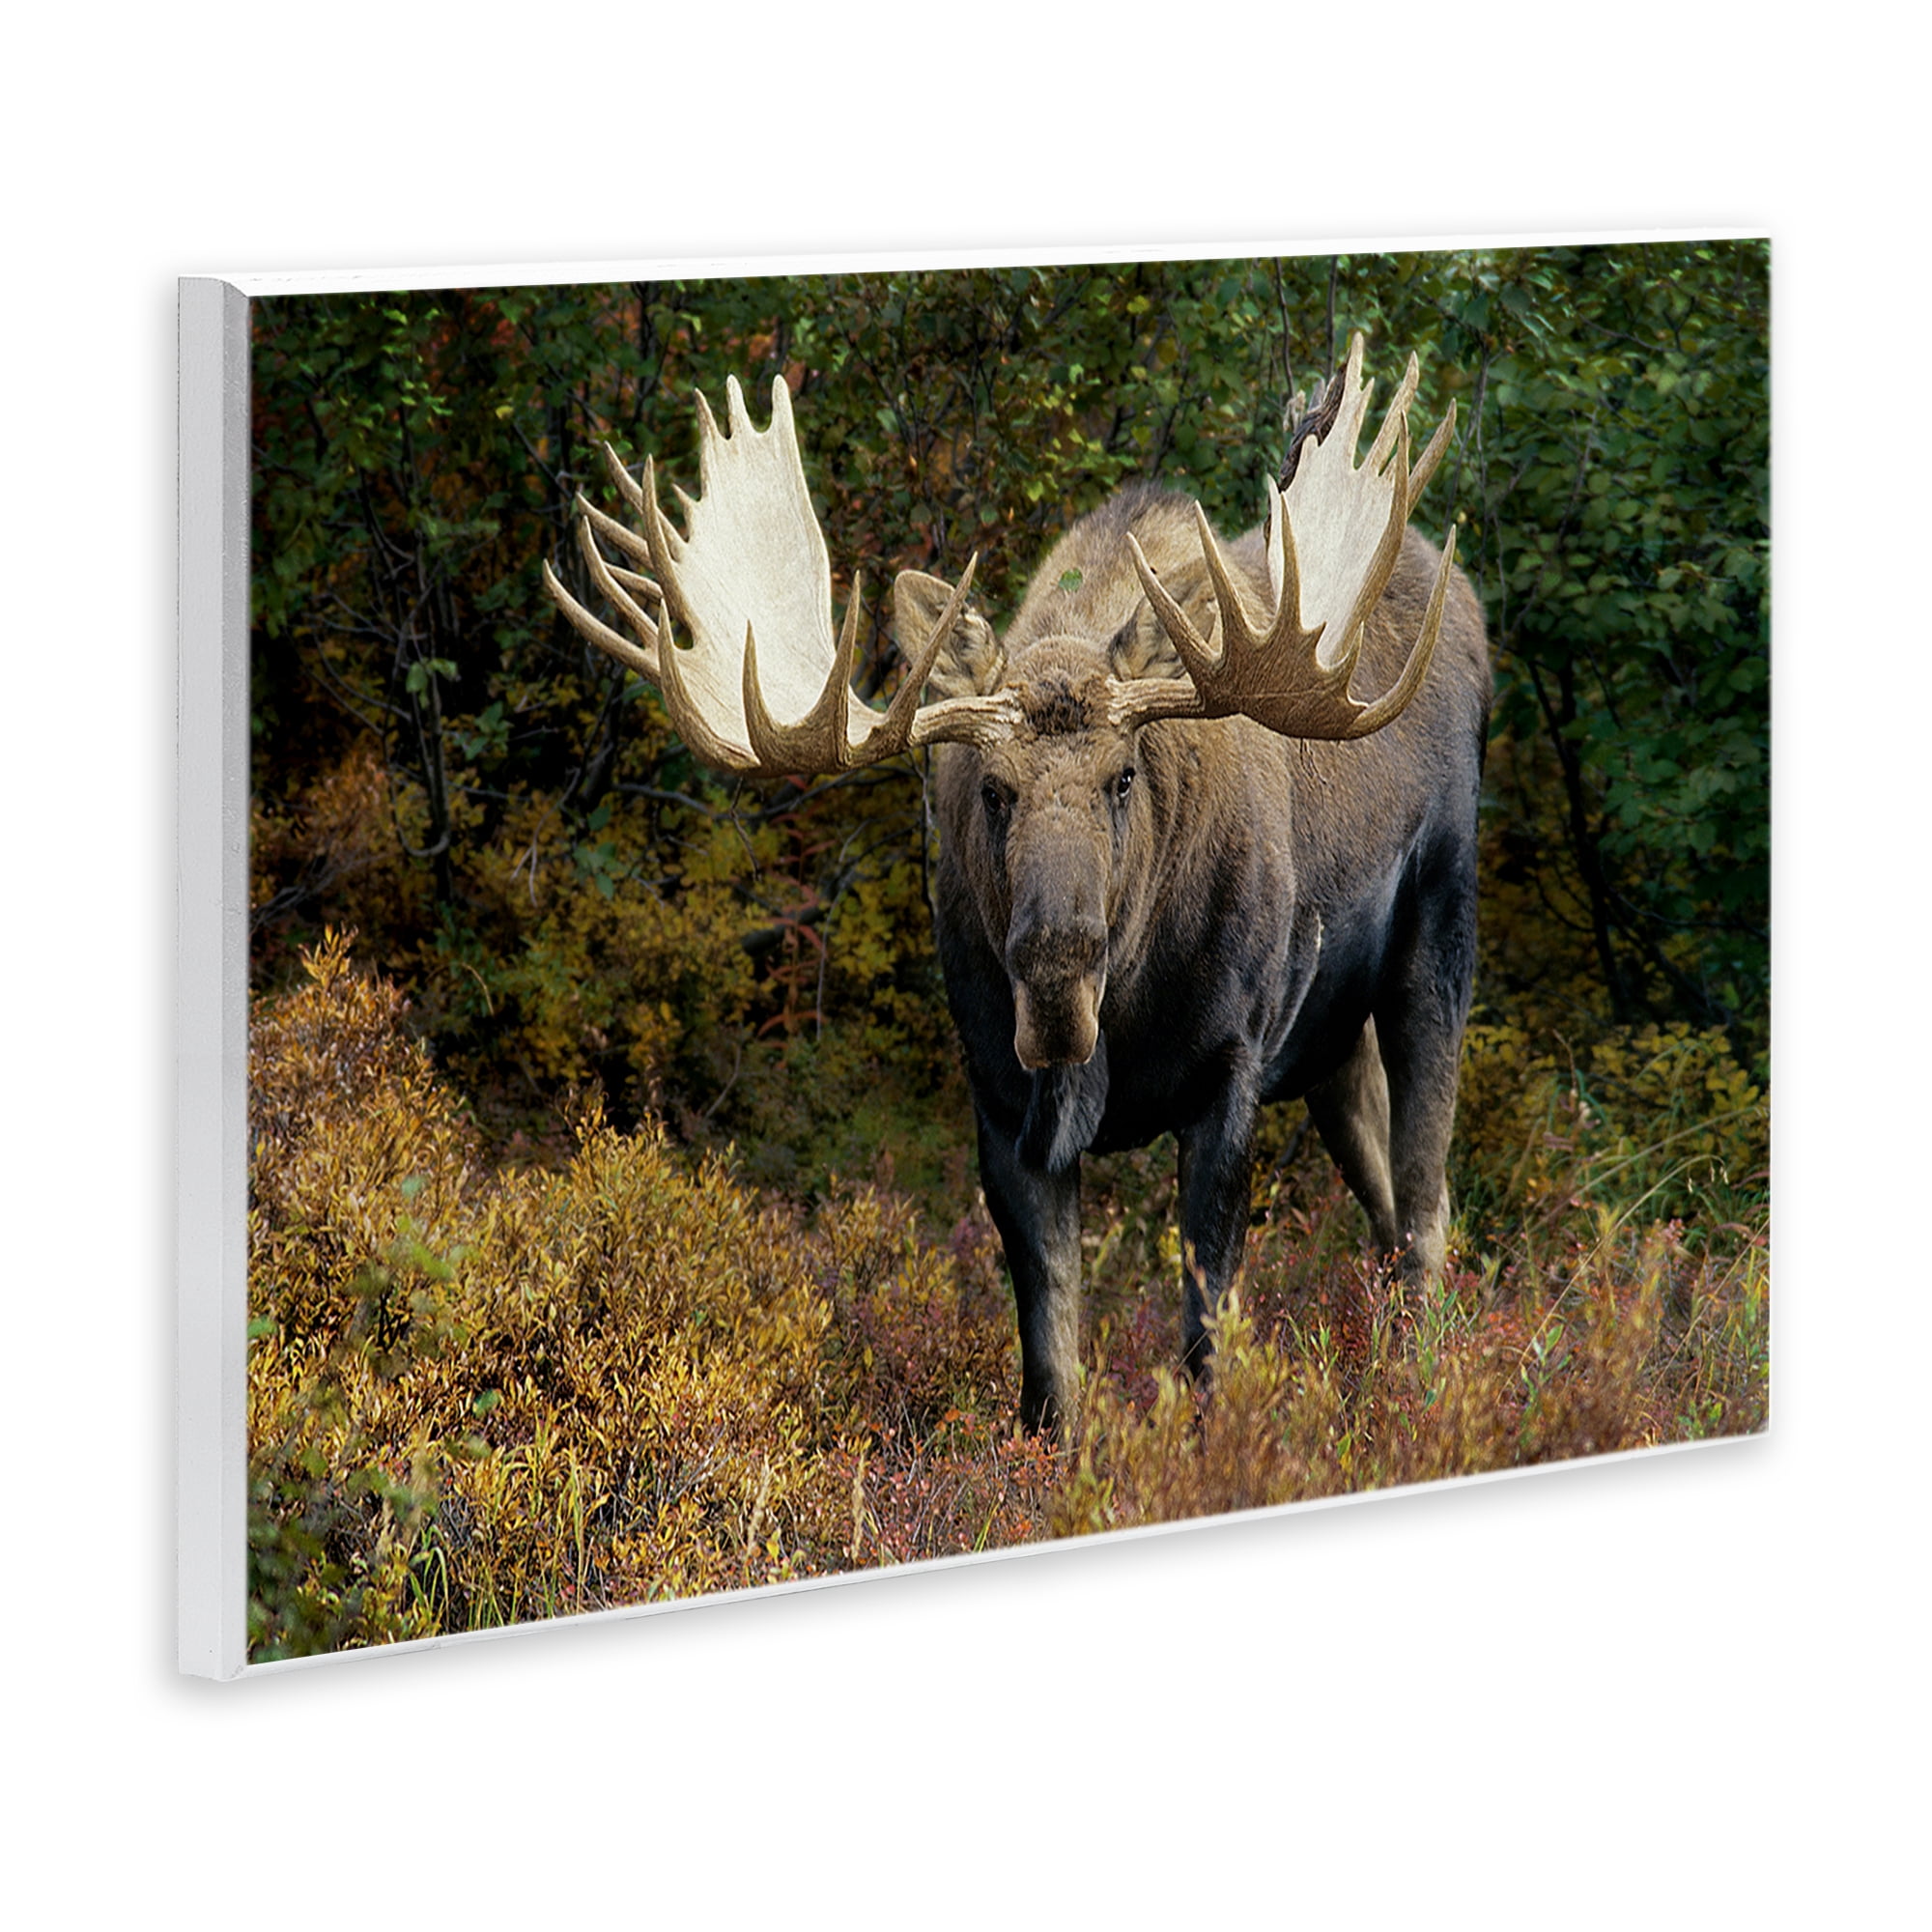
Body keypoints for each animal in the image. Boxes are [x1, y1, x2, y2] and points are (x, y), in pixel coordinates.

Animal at [544, 335, 1491, 1436]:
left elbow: (1208, 1334)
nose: (1054, 972)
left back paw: (1425, 1381)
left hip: (1438, 925)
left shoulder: (1229, 1069)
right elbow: (1049, 1368)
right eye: (993, 791)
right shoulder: (999, 1102)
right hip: (1329, 1039)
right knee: (1385, 1190)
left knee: (1426, 1202)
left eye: (1123, 776)